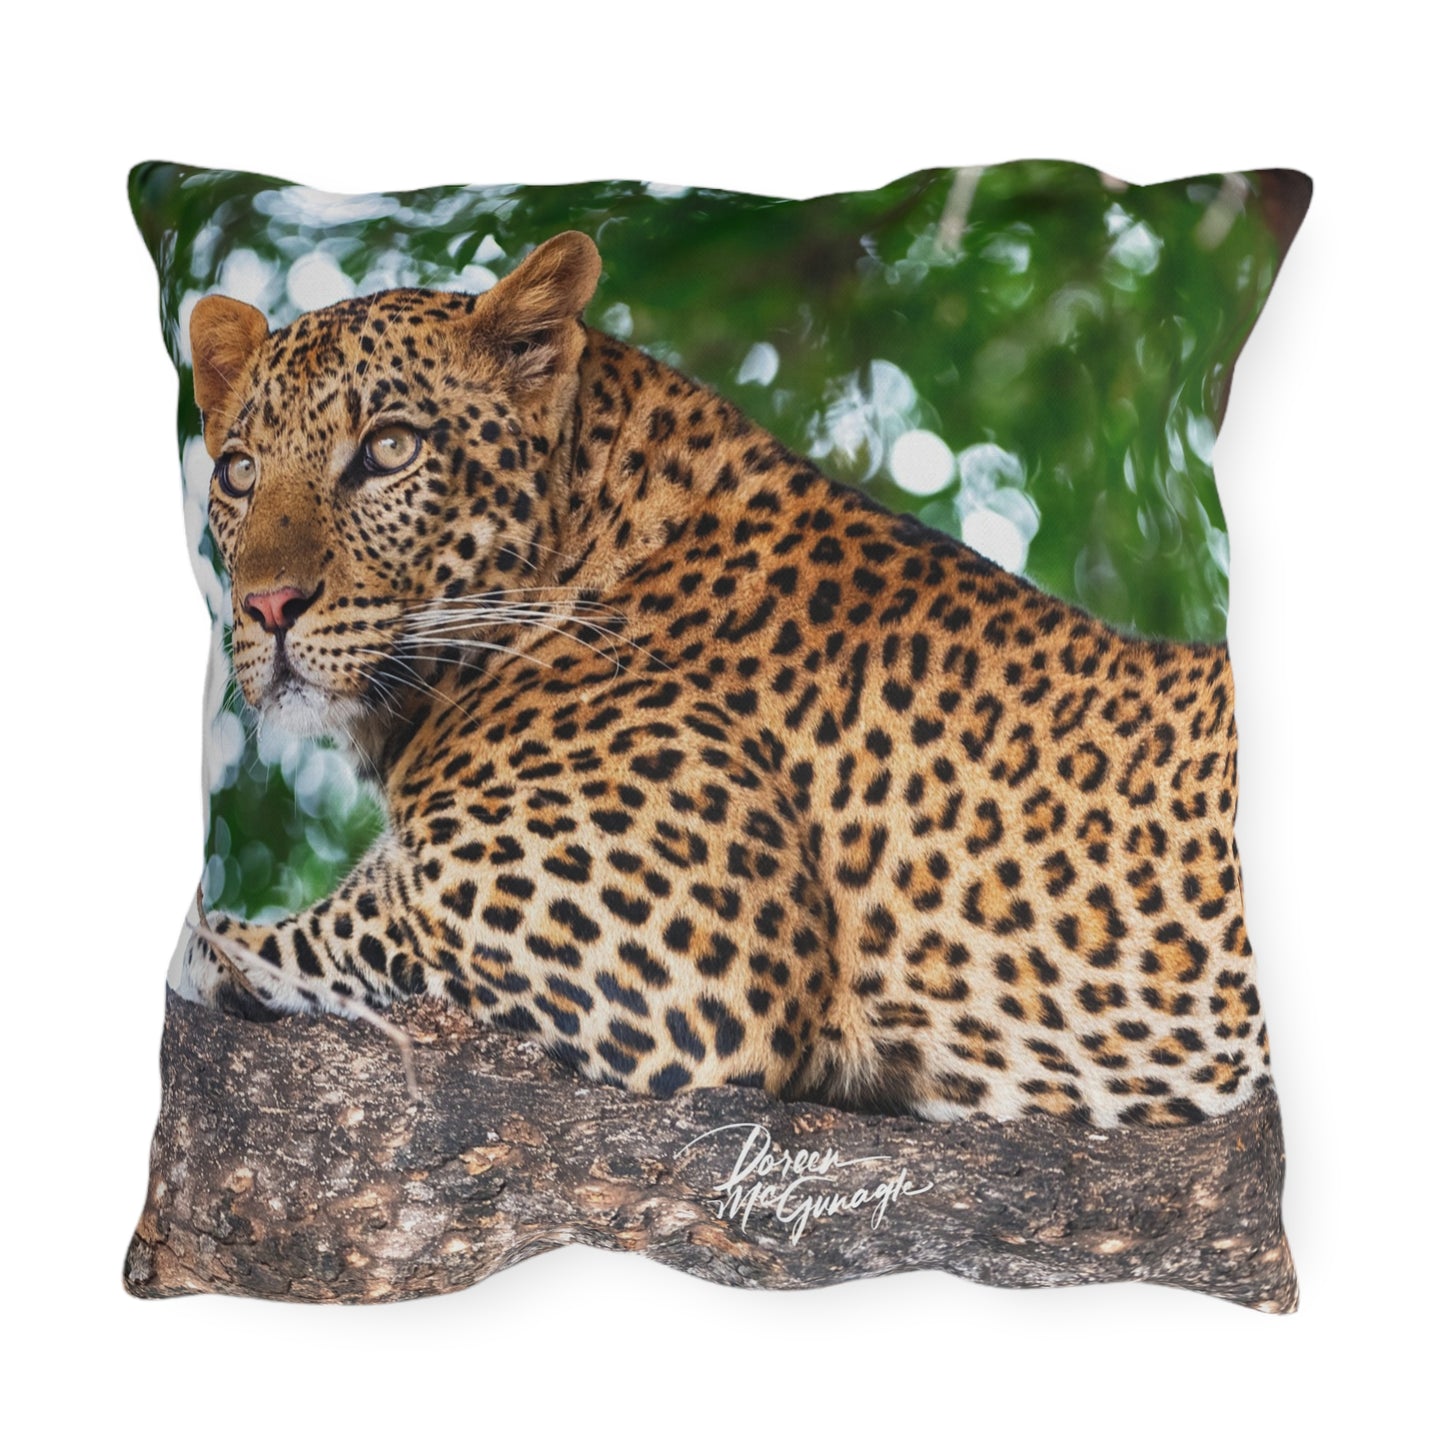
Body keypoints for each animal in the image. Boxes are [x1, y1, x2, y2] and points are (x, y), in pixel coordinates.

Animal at [180, 229, 1270, 1126]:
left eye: (389, 449)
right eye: (237, 471)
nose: (267, 607)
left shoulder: (662, 955)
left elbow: (294, 935)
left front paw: (206, 952)